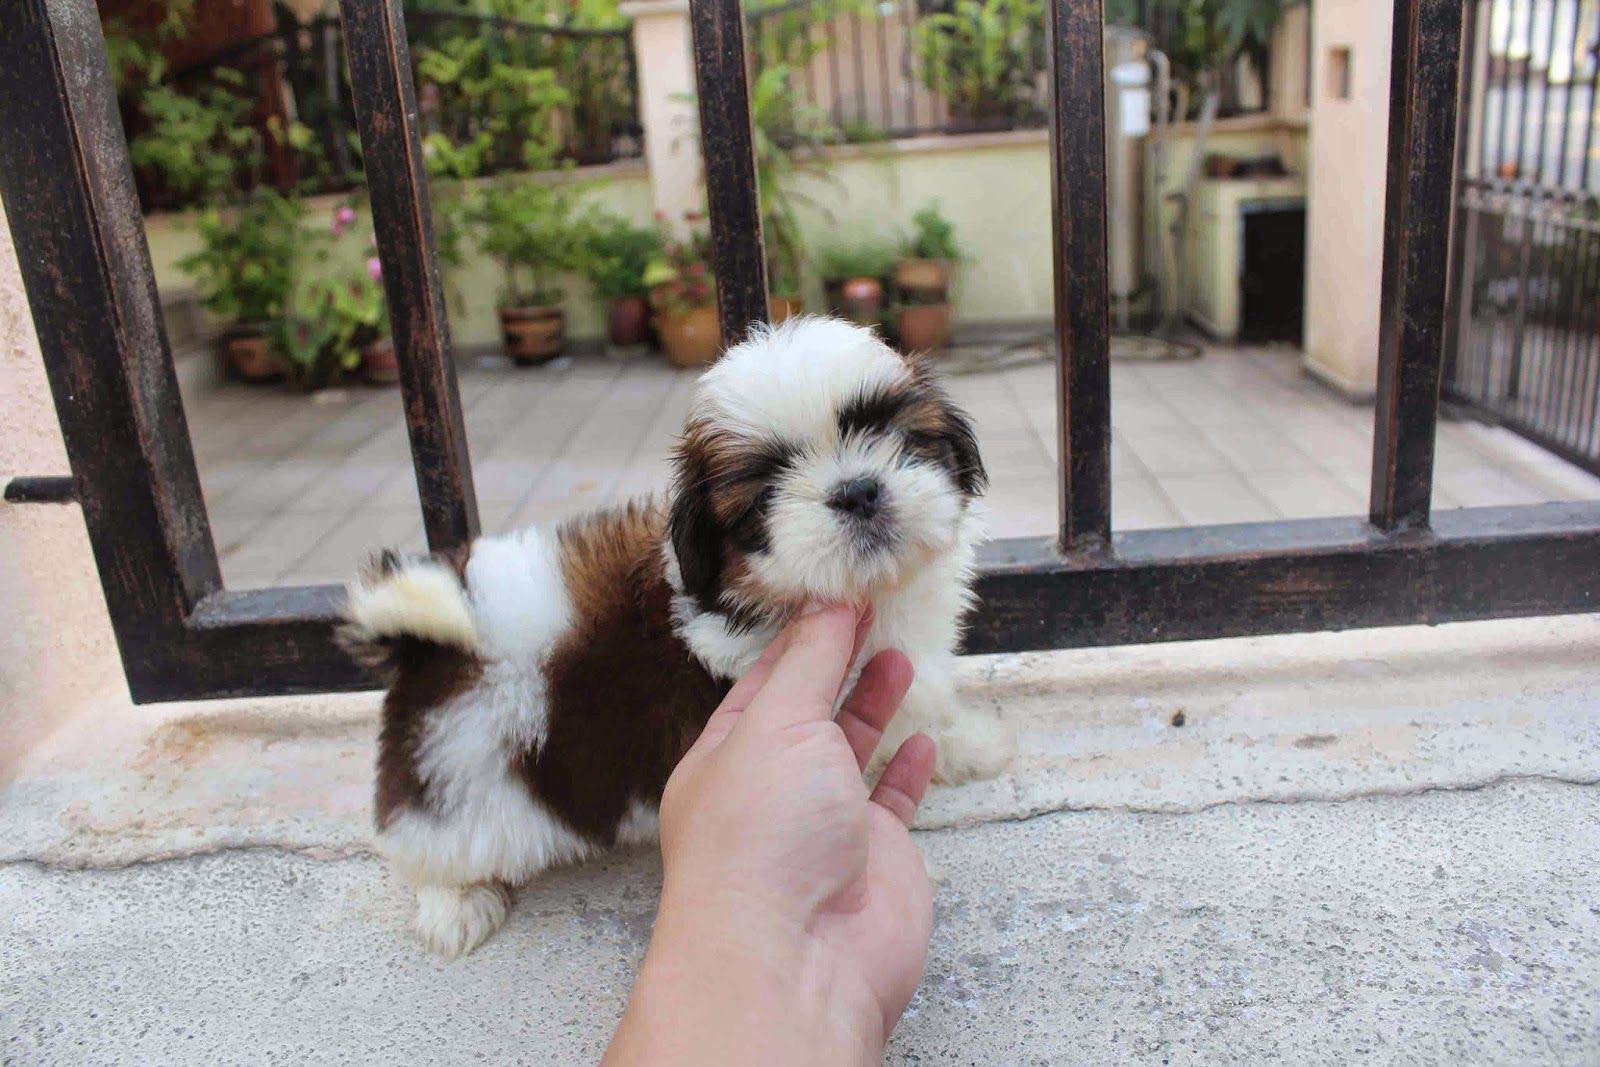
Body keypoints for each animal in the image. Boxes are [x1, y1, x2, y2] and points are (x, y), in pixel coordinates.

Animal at [342, 316, 1011, 959]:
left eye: (894, 434)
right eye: (765, 495)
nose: (856, 490)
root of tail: (433, 646)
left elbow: (918, 717)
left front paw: (966, 745)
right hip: (464, 781)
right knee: (429, 847)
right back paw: (455, 904)